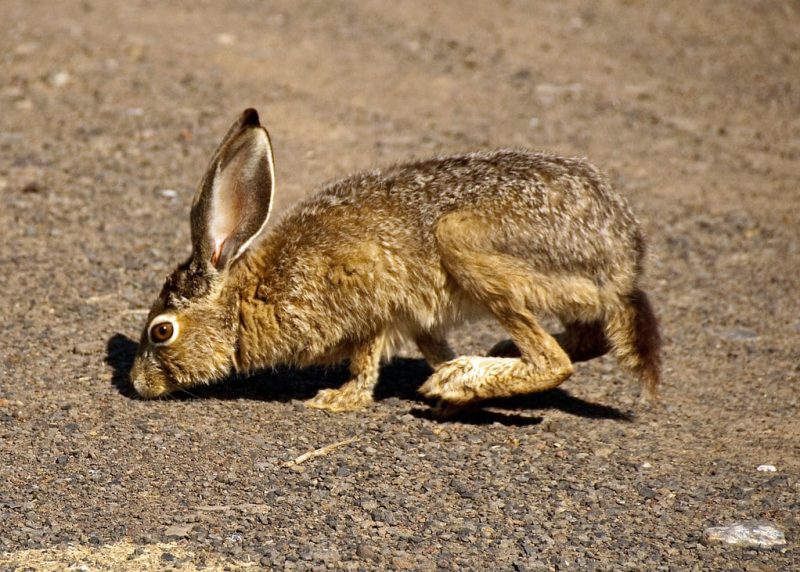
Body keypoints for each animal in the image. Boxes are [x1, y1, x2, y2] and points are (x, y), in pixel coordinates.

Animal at [131, 107, 660, 414]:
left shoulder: (371, 305)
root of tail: (622, 257)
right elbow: (433, 347)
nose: (137, 384)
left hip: (466, 245)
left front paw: (337, 401)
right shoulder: (419, 319)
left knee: (556, 360)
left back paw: (467, 378)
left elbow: (365, 363)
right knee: (587, 339)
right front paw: (448, 382)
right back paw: (484, 363)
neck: (245, 299)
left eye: (162, 331)